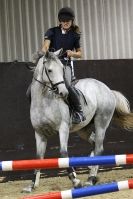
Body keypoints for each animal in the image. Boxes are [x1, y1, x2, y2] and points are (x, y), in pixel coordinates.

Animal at [23, 49, 133, 193]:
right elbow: (38, 158)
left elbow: (63, 153)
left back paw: (90, 179)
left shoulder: (63, 129)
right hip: (83, 130)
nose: (63, 93)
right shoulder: (39, 133)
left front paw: (76, 181)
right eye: (50, 70)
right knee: (94, 143)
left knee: (99, 147)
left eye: (62, 69)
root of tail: (107, 89)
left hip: (101, 122)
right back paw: (91, 167)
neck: (45, 101)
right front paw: (31, 185)